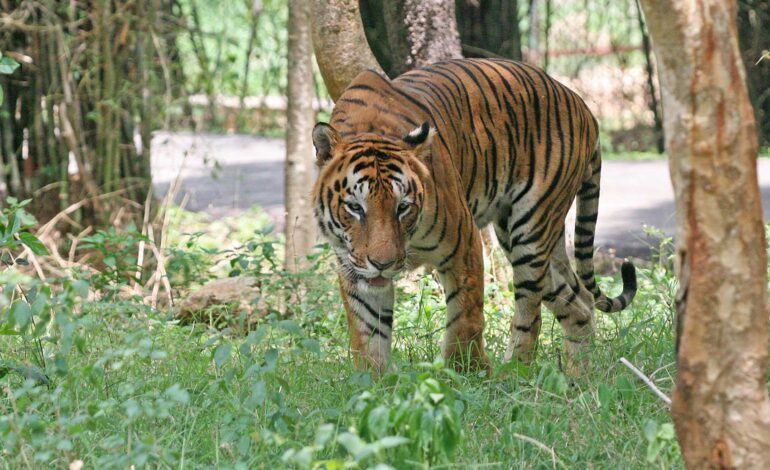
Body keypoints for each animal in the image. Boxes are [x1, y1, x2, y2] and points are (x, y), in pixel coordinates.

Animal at [308, 57, 632, 374]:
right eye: (355, 208)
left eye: (403, 207)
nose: (383, 264)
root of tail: (582, 105)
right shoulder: (353, 267)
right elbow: (368, 336)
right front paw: (374, 383)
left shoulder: (463, 244)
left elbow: (465, 319)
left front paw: (467, 374)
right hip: (526, 239)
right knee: (581, 304)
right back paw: (580, 378)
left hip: (531, 229)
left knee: (530, 313)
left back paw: (513, 374)